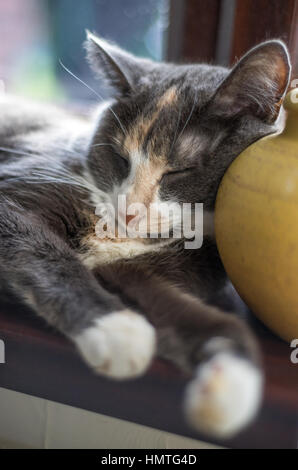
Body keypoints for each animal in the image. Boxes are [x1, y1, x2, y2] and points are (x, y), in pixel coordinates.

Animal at [0, 31, 290, 438]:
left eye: (179, 170)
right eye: (120, 158)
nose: (129, 211)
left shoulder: (156, 268)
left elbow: (187, 310)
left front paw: (229, 388)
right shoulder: (20, 185)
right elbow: (42, 253)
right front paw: (117, 330)